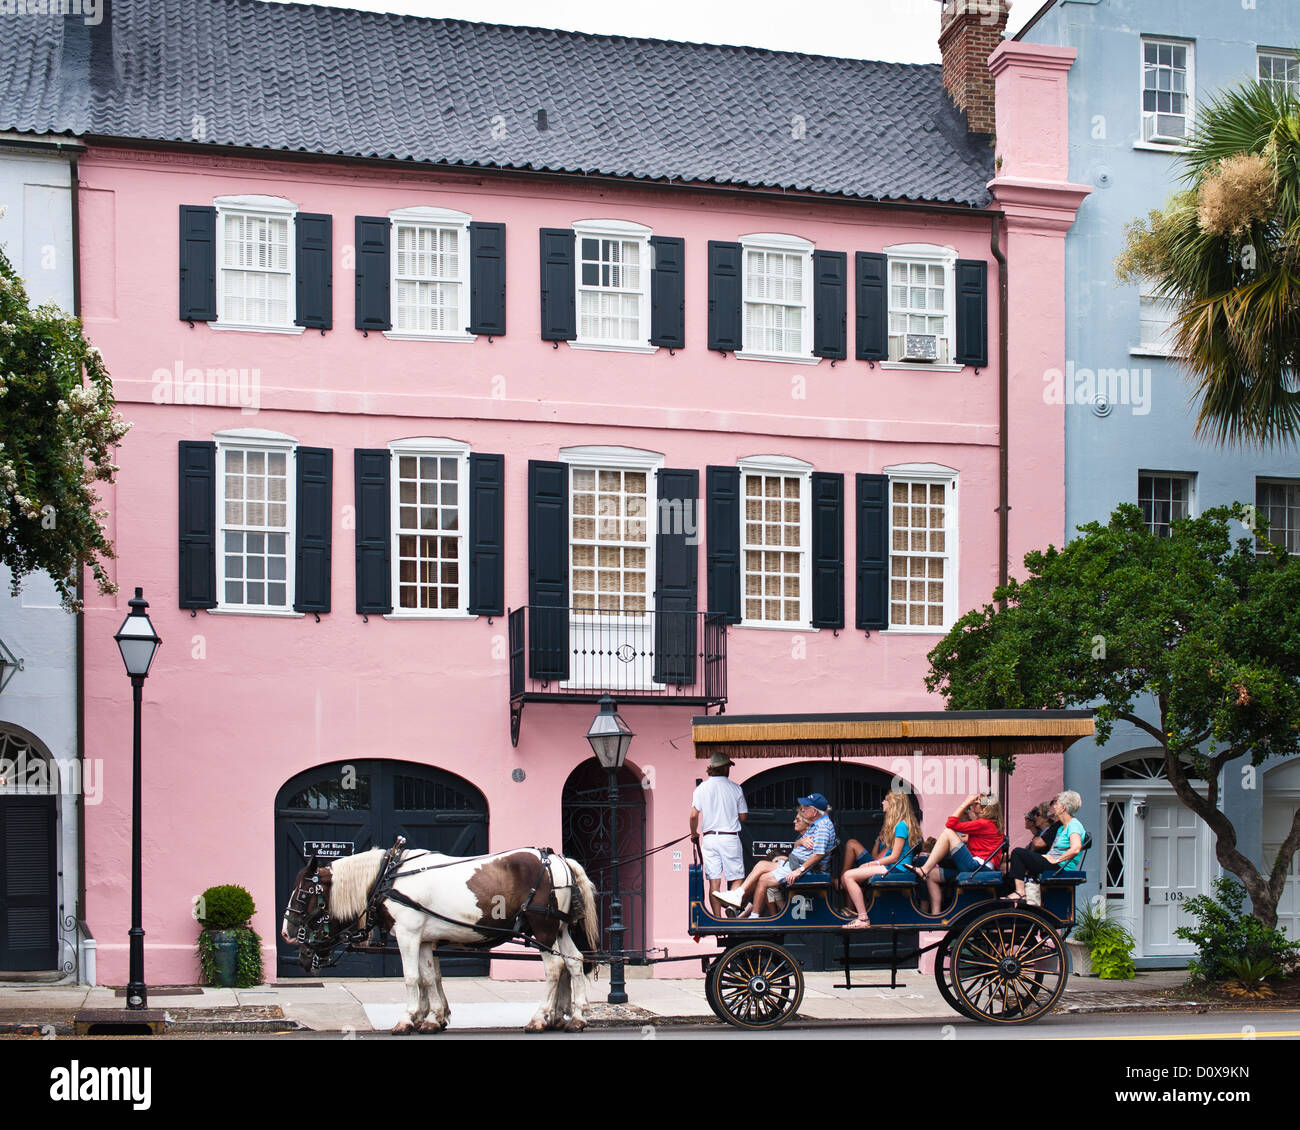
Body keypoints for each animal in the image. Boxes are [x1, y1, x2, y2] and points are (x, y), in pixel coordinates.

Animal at [282, 847, 600, 1029]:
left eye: (303, 894)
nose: (286, 934)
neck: (387, 878)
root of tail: (558, 860)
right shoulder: (424, 940)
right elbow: (428, 977)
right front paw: (433, 1017)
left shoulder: (408, 935)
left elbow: (411, 978)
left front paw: (407, 1018)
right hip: (558, 928)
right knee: (573, 962)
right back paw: (575, 1017)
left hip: (542, 927)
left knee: (555, 968)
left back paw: (539, 1017)